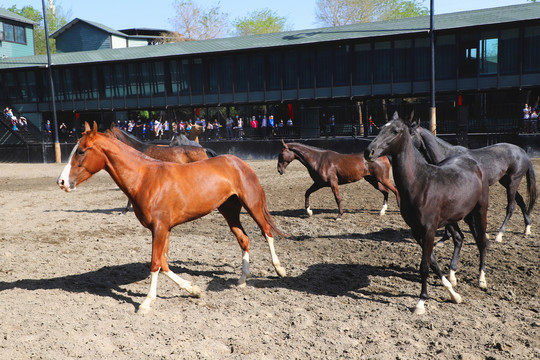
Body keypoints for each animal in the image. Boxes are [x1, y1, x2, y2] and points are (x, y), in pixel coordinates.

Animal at [56, 122, 286, 314]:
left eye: (81, 151)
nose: (62, 182)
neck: (145, 179)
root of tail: (239, 162)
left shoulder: (159, 228)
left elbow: (155, 263)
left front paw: (146, 302)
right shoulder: (163, 229)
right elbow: (164, 264)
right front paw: (193, 289)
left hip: (252, 205)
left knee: (267, 231)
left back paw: (279, 269)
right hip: (229, 210)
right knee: (244, 239)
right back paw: (242, 279)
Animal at [364, 114, 492, 314]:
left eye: (395, 131)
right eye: (380, 128)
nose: (369, 151)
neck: (420, 183)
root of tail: (474, 163)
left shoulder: (429, 230)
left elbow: (424, 266)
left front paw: (421, 302)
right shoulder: (417, 231)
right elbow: (432, 262)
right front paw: (453, 294)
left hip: (479, 212)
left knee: (482, 241)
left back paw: (482, 280)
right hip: (453, 218)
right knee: (459, 238)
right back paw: (455, 276)